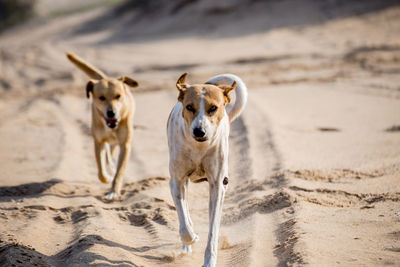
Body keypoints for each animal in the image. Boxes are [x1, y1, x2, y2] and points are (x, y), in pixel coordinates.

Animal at [66, 52, 138, 200]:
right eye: (101, 98)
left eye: (118, 96)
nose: (111, 112)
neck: (111, 125)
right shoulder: (98, 141)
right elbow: (101, 171)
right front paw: (107, 176)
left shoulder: (125, 144)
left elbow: (119, 172)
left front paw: (114, 191)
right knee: (106, 153)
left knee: (111, 150)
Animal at [166, 72, 247, 266]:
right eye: (189, 107)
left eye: (213, 108)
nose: (199, 131)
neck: (199, 147)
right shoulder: (176, 181)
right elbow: (184, 222)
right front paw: (191, 238)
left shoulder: (218, 185)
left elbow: (213, 230)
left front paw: (209, 260)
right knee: (185, 211)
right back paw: (187, 245)